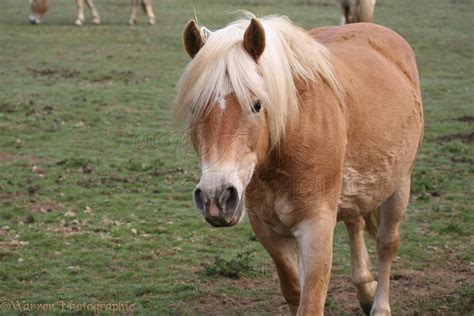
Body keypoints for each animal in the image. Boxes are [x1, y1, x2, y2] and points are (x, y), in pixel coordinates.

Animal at [173, 12, 422, 316]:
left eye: (257, 105)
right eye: (193, 108)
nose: (216, 198)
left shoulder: (315, 228)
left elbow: (310, 302)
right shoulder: (267, 229)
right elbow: (293, 290)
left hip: (400, 184)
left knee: (387, 243)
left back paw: (379, 306)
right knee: (355, 221)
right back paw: (365, 289)